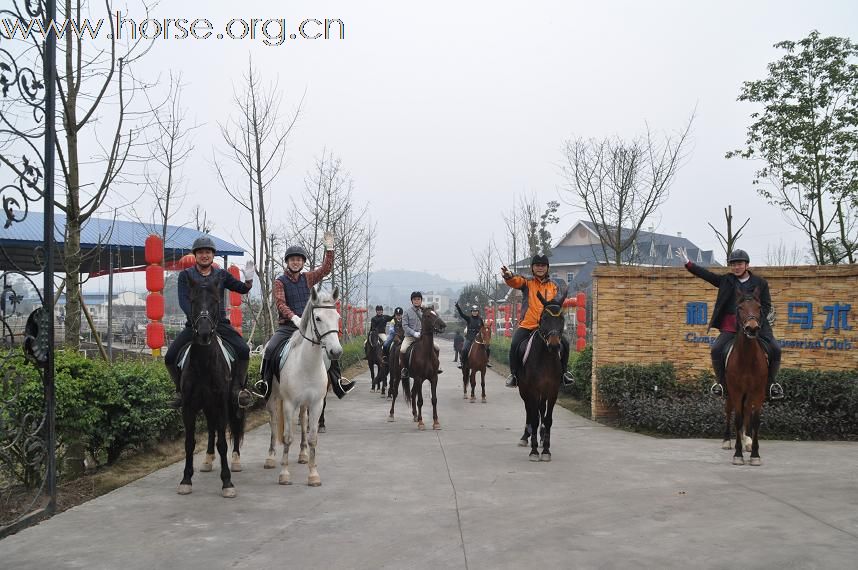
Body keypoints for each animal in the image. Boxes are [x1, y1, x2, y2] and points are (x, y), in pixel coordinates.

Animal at [176, 278, 244, 494]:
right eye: (193, 301)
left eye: (215, 301)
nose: (204, 333)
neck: (204, 364)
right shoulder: (188, 407)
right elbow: (189, 443)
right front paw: (186, 479)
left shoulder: (221, 404)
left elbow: (223, 442)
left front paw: (227, 482)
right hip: (207, 405)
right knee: (212, 427)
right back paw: (207, 459)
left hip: (231, 402)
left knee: (235, 426)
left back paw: (236, 460)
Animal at [264, 284, 342, 484]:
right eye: (318, 318)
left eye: (337, 317)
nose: (336, 351)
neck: (307, 366)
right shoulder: (289, 404)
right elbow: (287, 437)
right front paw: (284, 474)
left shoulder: (316, 404)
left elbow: (313, 437)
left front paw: (313, 474)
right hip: (272, 398)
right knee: (273, 422)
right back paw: (270, 458)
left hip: (304, 405)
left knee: (303, 420)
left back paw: (303, 454)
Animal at [516, 290, 560, 460]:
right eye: (545, 318)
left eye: (562, 318)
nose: (554, 345)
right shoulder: (532, 390)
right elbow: (534, 418)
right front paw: (534, 451)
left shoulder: (553, 391)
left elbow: (548, 419)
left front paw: (546, 450)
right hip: (524, 390)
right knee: (529, 410)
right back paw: (525, 436)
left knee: (540, 410)